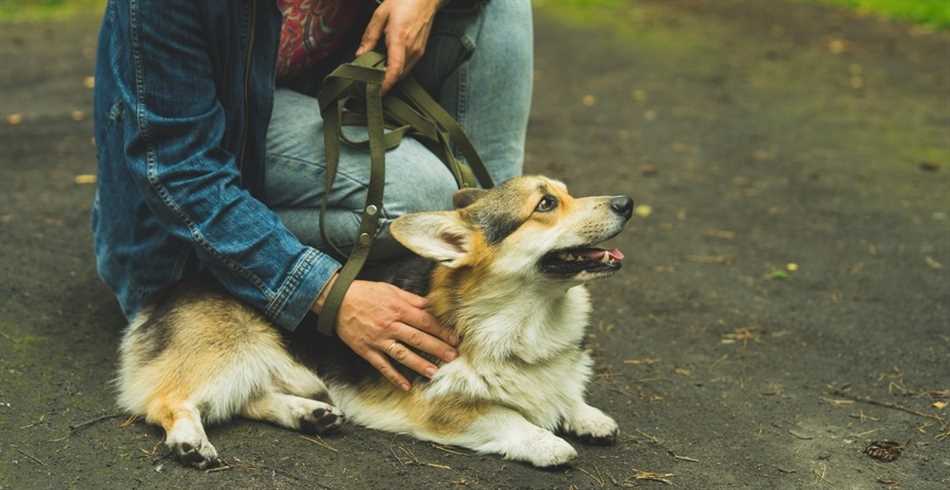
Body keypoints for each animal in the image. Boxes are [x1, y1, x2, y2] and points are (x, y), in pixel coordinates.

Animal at [117, 175, 632, 468]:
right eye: (545, 205)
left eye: (566, 194)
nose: (627, 203)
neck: (525, 319)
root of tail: (168, 287)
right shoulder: (438, 405)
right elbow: (508, 416)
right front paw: (548, 443)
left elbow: (563, 394)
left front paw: (586, 416)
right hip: (231, 354)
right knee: (170, 401)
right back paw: (189, 442)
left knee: (249, 399)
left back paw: (310, 415)